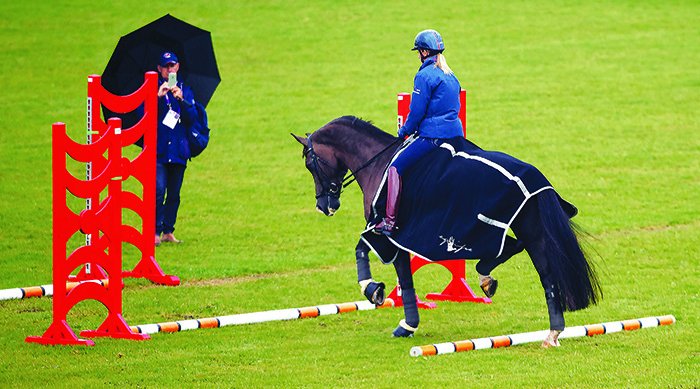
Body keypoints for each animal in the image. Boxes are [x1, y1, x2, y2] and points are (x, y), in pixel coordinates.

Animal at [290, 114, 600, 346]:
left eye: (309, 163)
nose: (324, 206)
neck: (377, 162)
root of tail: (534, 180)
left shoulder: (388, 235)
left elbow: (374, 258)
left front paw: (383, 300)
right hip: (530, 230)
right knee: (540, 269)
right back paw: (548, 329)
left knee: (520, 256)